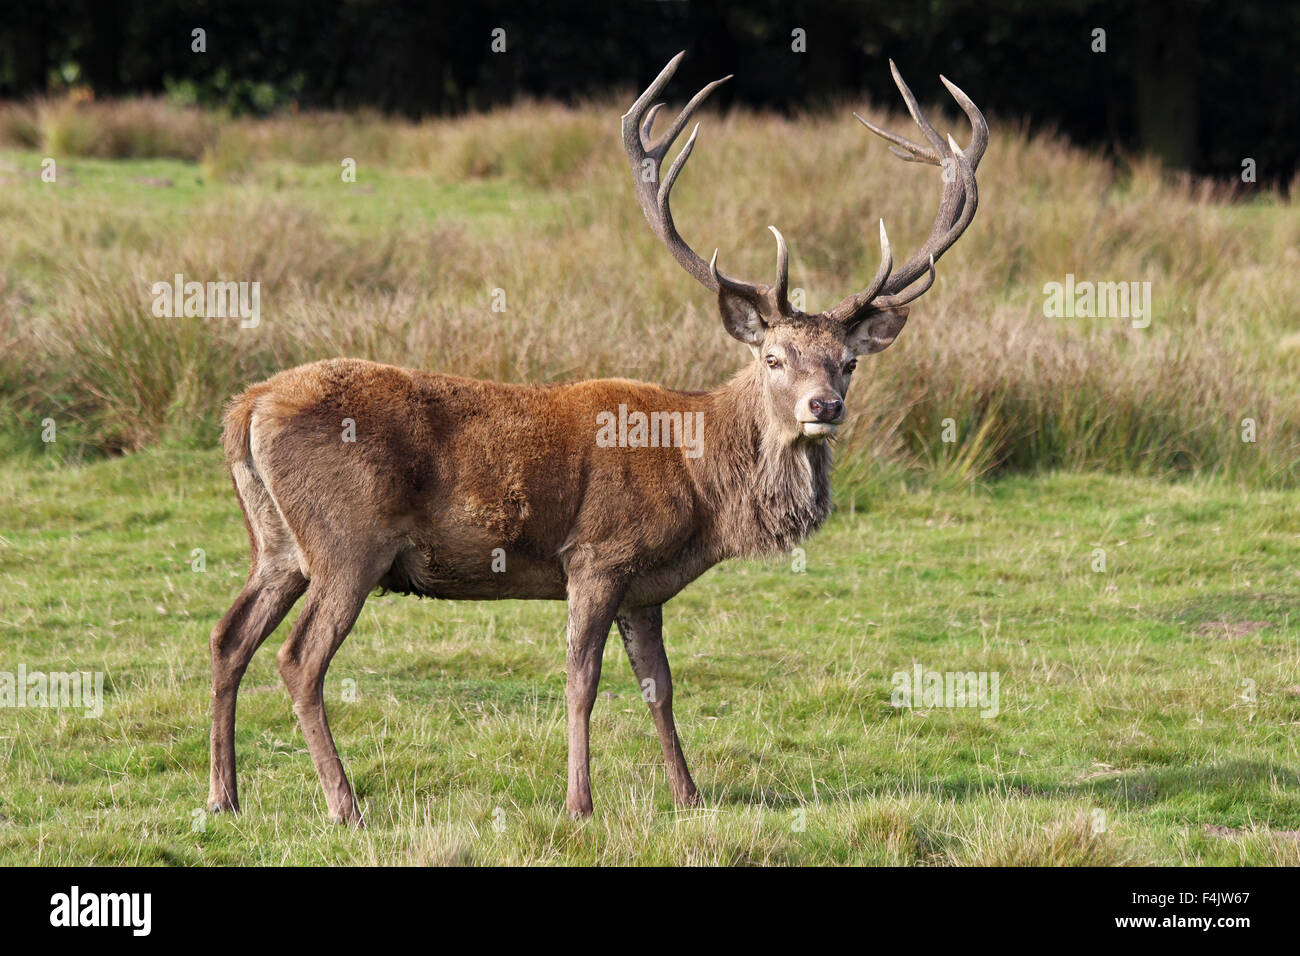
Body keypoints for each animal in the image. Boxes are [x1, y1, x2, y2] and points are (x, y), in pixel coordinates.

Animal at [207, 52, 986, 824]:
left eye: (848, 361)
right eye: (773, 358)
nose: (825, 405)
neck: (700, 487)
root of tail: (246, 407)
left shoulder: (646, 586)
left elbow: (659, 685)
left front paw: (689, 795)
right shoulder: (597, 555)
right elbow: (582, 680)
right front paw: (580, 802)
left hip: (277, 543)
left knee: (228, 638)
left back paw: (224, 797)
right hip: (348, 541)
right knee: (298, 659)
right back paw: (344, 806)